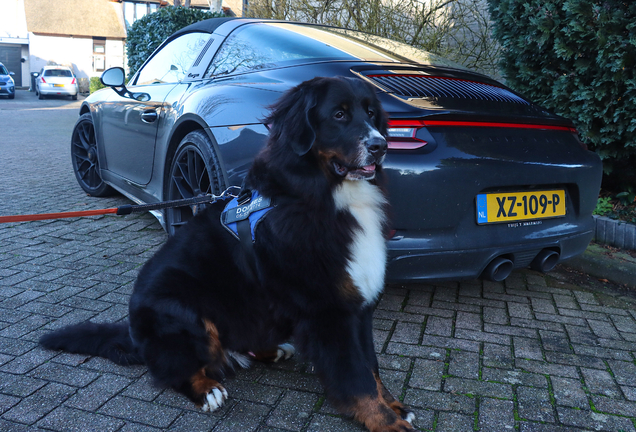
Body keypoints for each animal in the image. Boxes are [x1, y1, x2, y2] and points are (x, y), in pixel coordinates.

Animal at [41, 77, 418, 432]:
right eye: (339, 115)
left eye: (371, 114)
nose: (380, 146)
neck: (322, 196)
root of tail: (135, 335)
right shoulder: (329, 310)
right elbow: (358, 378)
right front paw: (387, 420)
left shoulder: (357, 302)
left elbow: (372, 368)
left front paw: (395, 406)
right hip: (182, 307)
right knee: (172, 370)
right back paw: (207, 389)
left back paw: (272, 349)